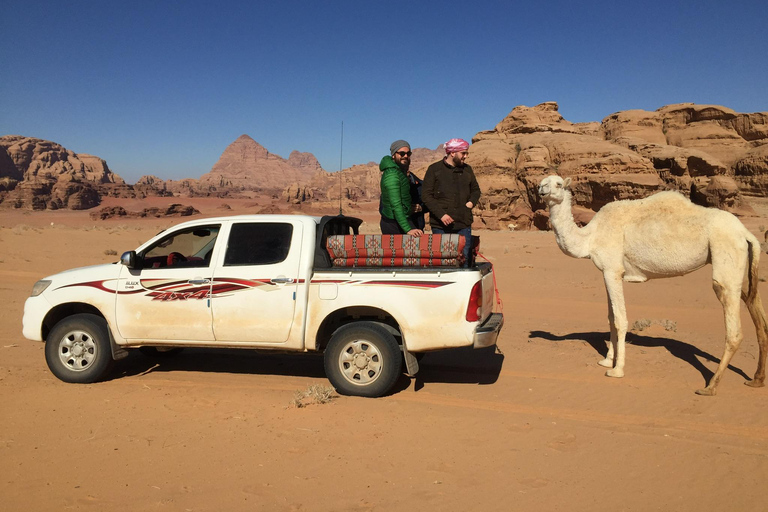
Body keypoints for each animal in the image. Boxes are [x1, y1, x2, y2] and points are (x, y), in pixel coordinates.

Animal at [536, 174, 768, 394]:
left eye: (558, 184)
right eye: (542, 181)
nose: (541, 189)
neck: (590, 237)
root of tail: (746, 233)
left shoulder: (612, 270)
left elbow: (620, 319)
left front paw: (617, 369)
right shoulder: (607, 272)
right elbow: (610, 317)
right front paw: (607, 360)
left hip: (726, 252)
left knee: (732, 322)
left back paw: (710, 387)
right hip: (743, 265)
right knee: (755, 308)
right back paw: (756, 380)